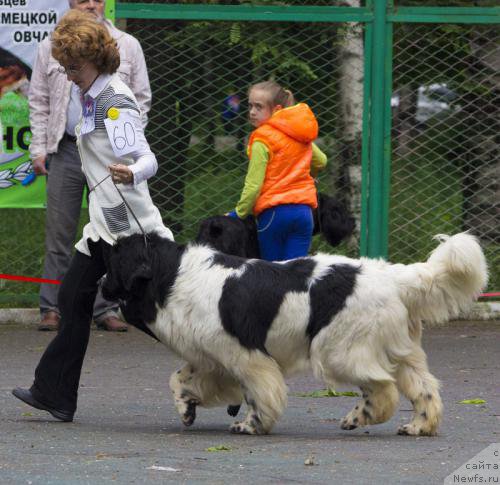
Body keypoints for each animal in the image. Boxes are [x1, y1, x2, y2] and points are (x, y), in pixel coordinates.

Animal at [102, 231, 488, 434]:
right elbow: (180, 379)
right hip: (400, 352)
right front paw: (186, 407)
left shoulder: (247, 356)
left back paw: (360, 416)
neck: (173, 276)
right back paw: (418, 426)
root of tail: (392, 275)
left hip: (337, 351)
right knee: (424, 389)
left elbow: (259, 394)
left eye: (114, 260)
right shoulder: (212, 358)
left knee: (383, 388)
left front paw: (251, 424)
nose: (101, 281)